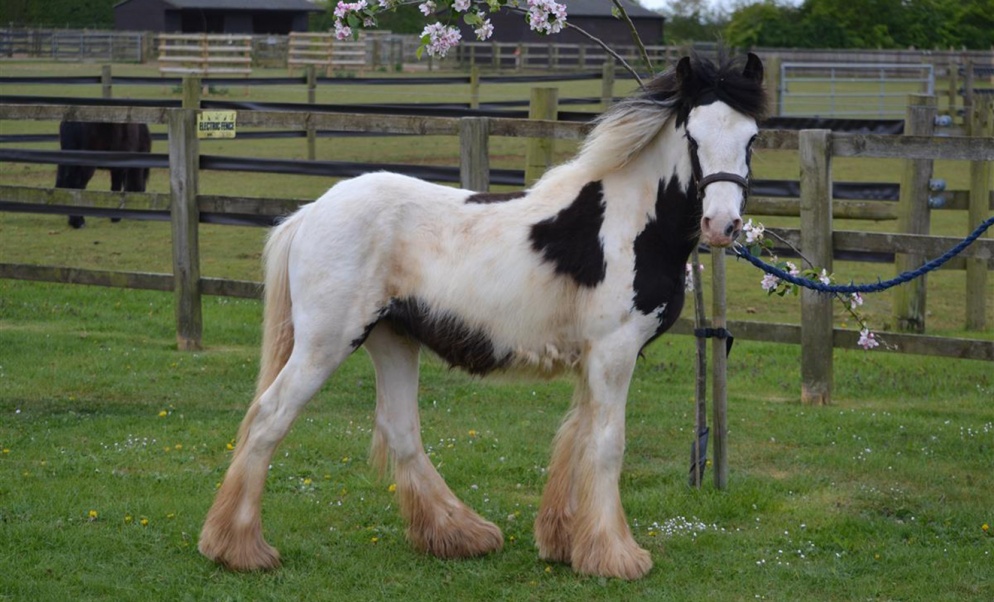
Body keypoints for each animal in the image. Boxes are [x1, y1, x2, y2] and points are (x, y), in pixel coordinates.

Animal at [199, 52, 767, 580]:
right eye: (693, 136)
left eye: (752, 138)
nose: (722, 225)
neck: (629, 223)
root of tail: (309, 212)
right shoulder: (613, 352)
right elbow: (607, 446)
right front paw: (615, 556)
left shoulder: (594, 359)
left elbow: (576, 439)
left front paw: (564, 542)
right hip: (326, 343)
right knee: (270, 418)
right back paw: (239, 549)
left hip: (391, 338)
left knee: (400, 430)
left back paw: (457, 534)